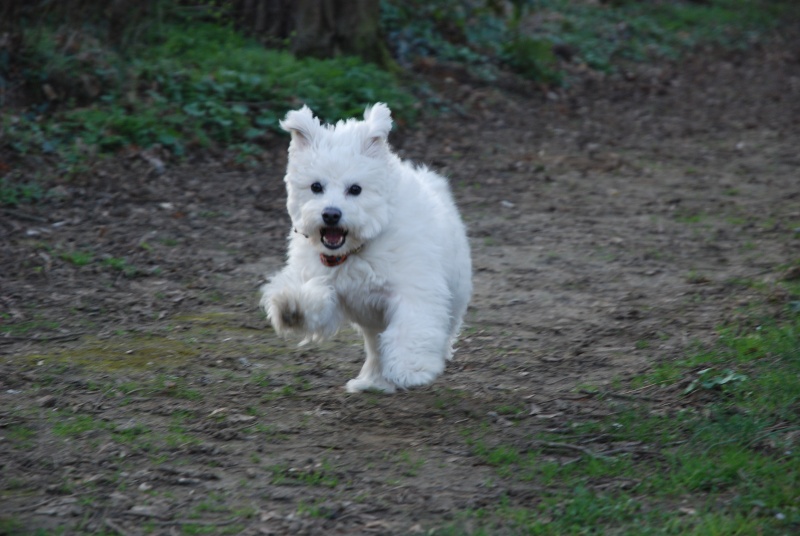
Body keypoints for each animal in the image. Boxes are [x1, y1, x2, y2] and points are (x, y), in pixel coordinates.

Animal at [260, 102, 472, 392]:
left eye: (355, 189)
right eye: (316, 186)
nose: (331, 214)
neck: (355, 250)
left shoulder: (414, 290)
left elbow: (412, 326)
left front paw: (411, 368)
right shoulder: (331, 292)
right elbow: (314, 303)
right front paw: (292, 306)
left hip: (455, 290)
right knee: (376, 346)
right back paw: (374, 380)